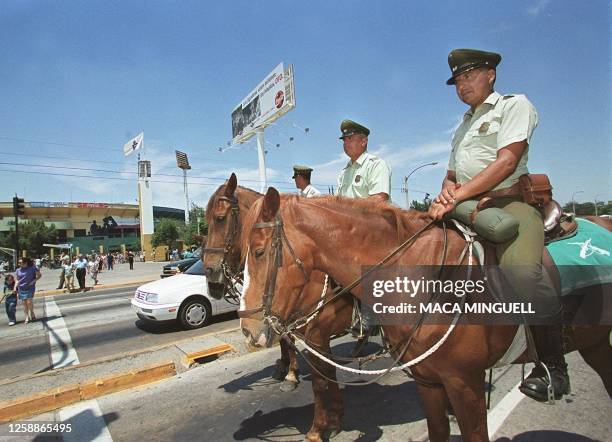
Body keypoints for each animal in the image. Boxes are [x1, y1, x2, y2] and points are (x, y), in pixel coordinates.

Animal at [239, 190, 612, 442]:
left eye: (258, 251)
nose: (247, 328)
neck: (423, 275)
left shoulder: (465, 383)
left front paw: (321, 427)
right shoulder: (429, 382)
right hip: (595, 343)